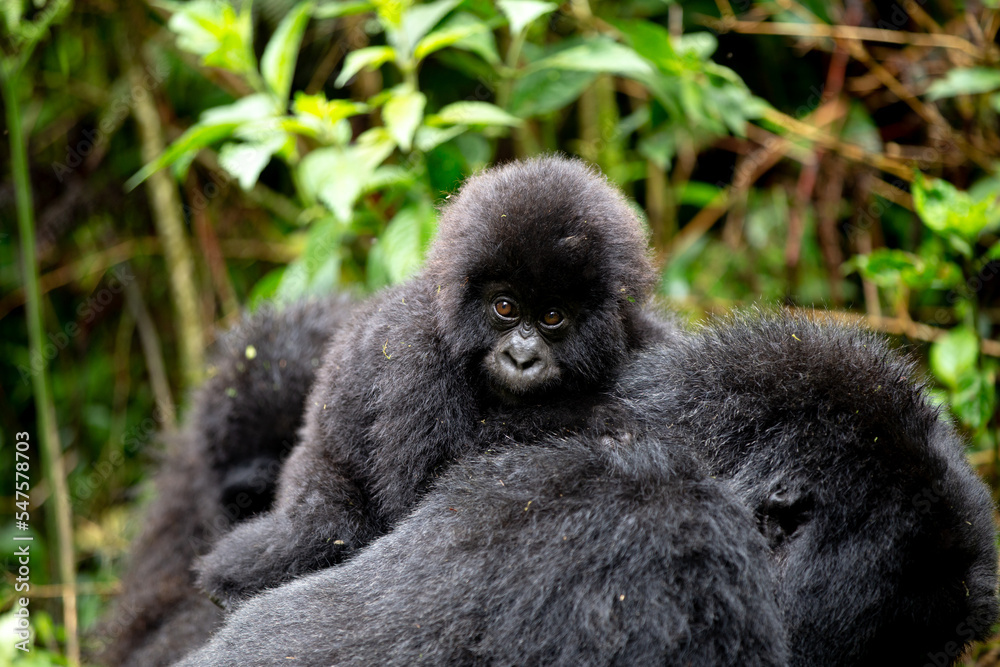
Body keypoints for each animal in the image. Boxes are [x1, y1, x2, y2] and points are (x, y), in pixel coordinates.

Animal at [194, 155, 670, 607]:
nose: (521, 358)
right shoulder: (416, 354)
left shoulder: (640, 334)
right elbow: (426, 491)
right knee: (326, 524)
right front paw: (591, 414)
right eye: (504, 307)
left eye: (552, 316)